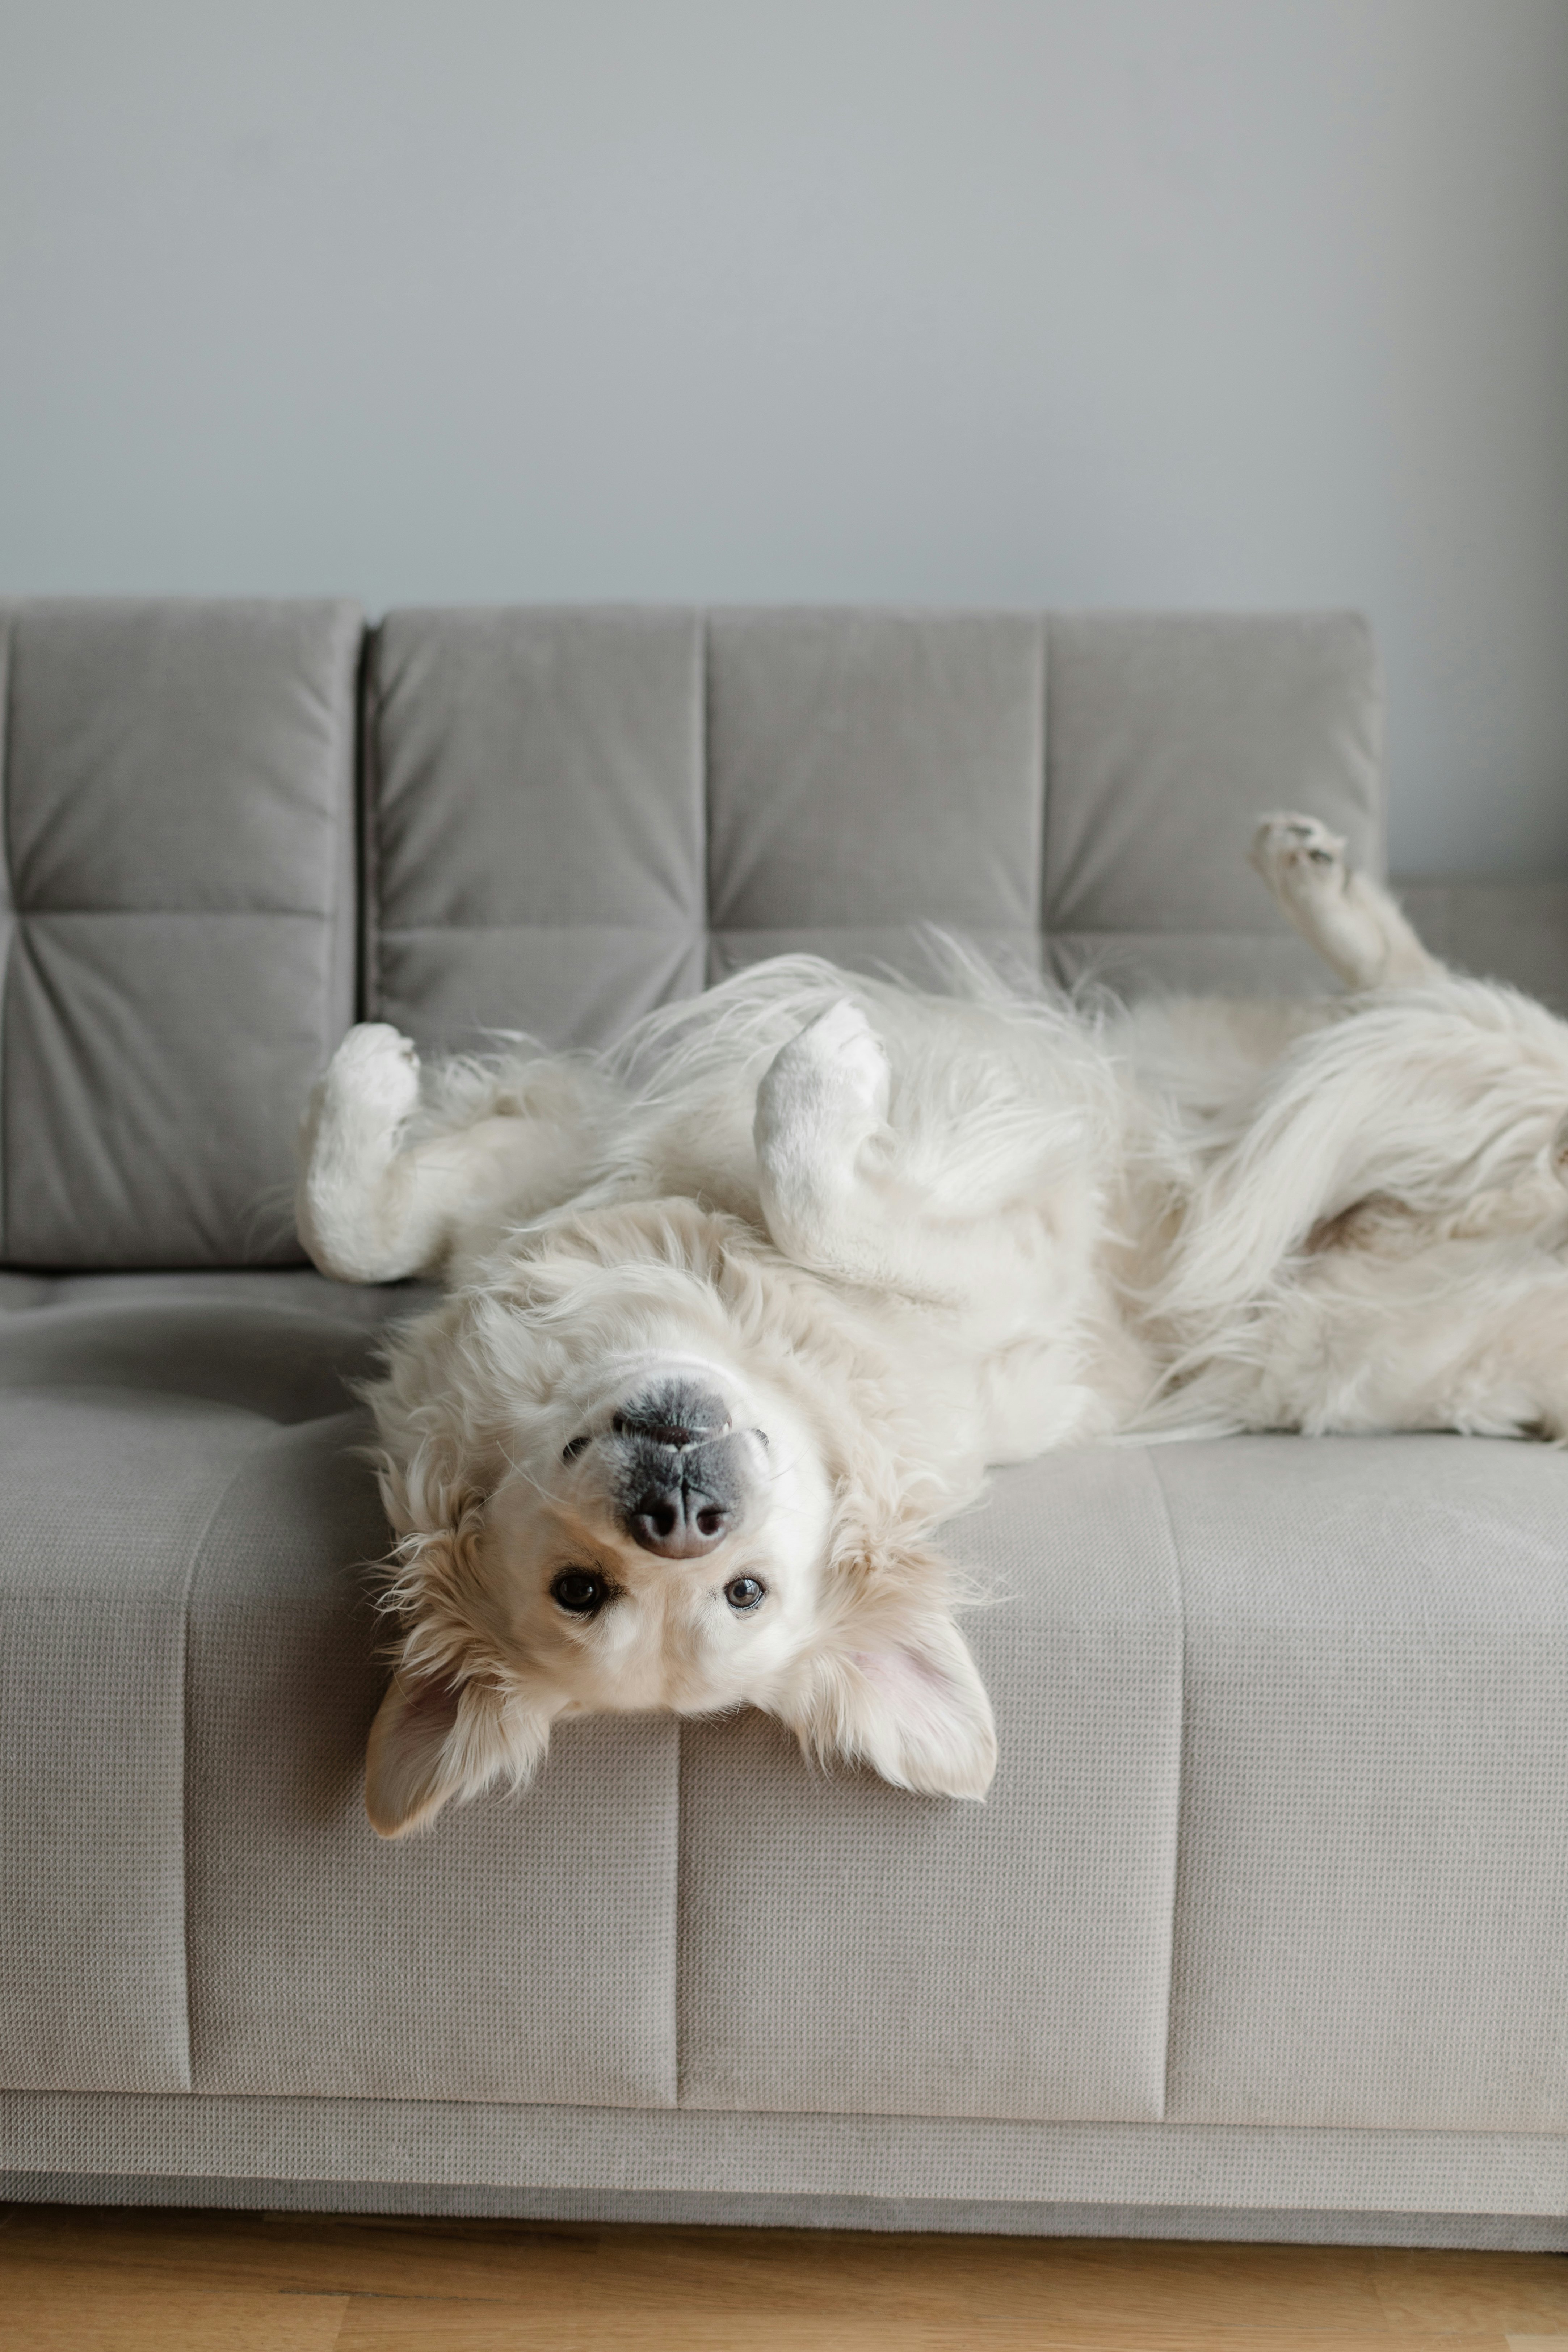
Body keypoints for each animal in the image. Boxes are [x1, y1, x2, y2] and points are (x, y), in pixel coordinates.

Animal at [297, 823, 1568, 1834]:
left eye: (743, 1592)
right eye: (583, 1591)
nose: (679, 1511)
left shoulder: (562, 1180)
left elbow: (357, 1227)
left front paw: (364, 1069)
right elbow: (810, 1193)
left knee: (1432, 1000)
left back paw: (1311, 871)